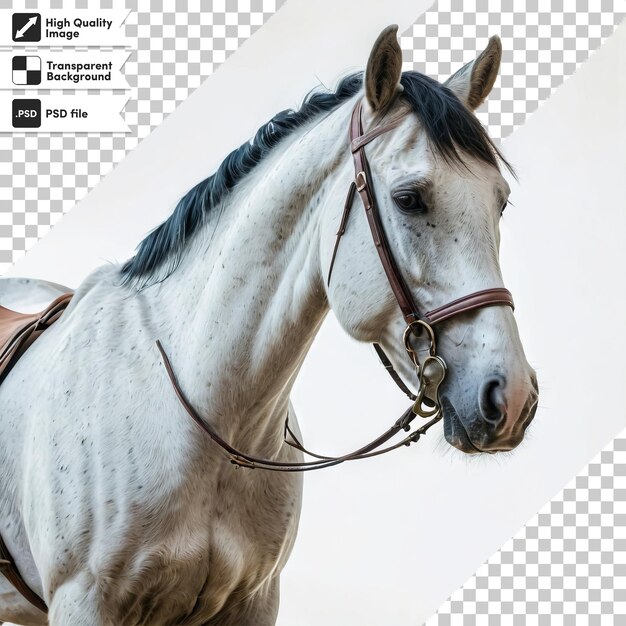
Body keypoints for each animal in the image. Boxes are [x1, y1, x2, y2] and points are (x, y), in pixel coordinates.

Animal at [0, 28, 536, 624]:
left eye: (500, 202)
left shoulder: (253, 602)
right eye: (409, 199)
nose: (511, 396)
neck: (201, 420)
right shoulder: (84, 603)